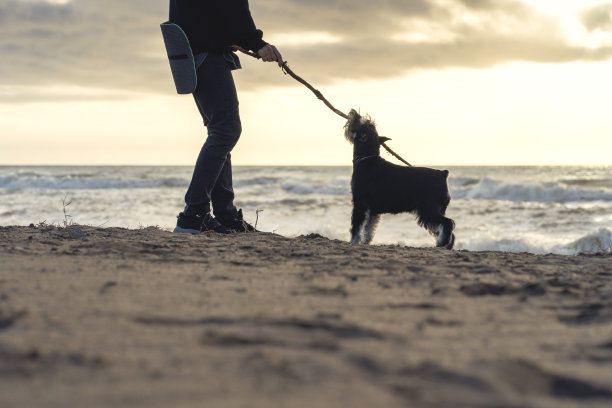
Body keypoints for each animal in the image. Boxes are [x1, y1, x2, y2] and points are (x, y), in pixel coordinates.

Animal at [344, 109, 454, 249]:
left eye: (363, 123)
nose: (353, 112)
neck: (367, 158)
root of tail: (443, 174)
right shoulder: (372, 210)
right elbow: (369, 228)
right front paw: (365, 241)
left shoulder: (359, 204)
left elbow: (356, 226)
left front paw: (353, 241)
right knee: (445, 229)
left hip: (428, 209)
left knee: (447, 223)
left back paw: (441, 242)